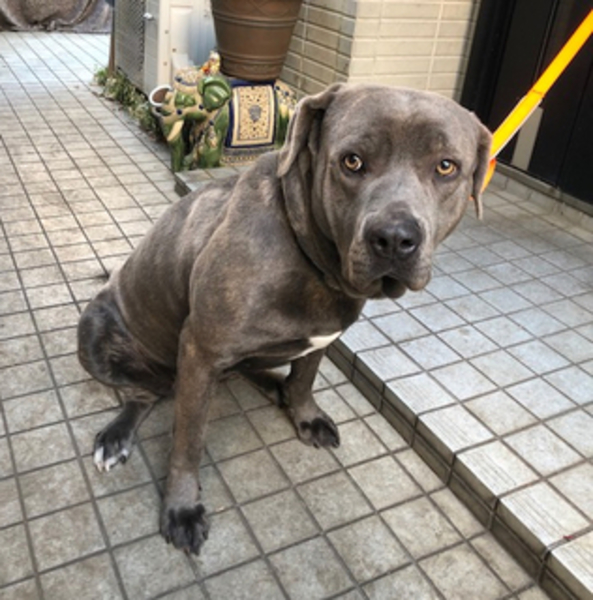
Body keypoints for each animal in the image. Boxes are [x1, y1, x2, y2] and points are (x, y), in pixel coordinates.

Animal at [78, 83, 491, 554]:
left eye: (446, 166)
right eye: (352, 161)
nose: (394, 238)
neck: (312, 259)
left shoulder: (322, 338)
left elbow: (304, 380)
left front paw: (304, 413)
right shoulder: (201, 350)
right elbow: (188, 440)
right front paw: (181, 507)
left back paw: (274, 383)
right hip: (95, 331)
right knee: (142, 394)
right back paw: (117, 435)